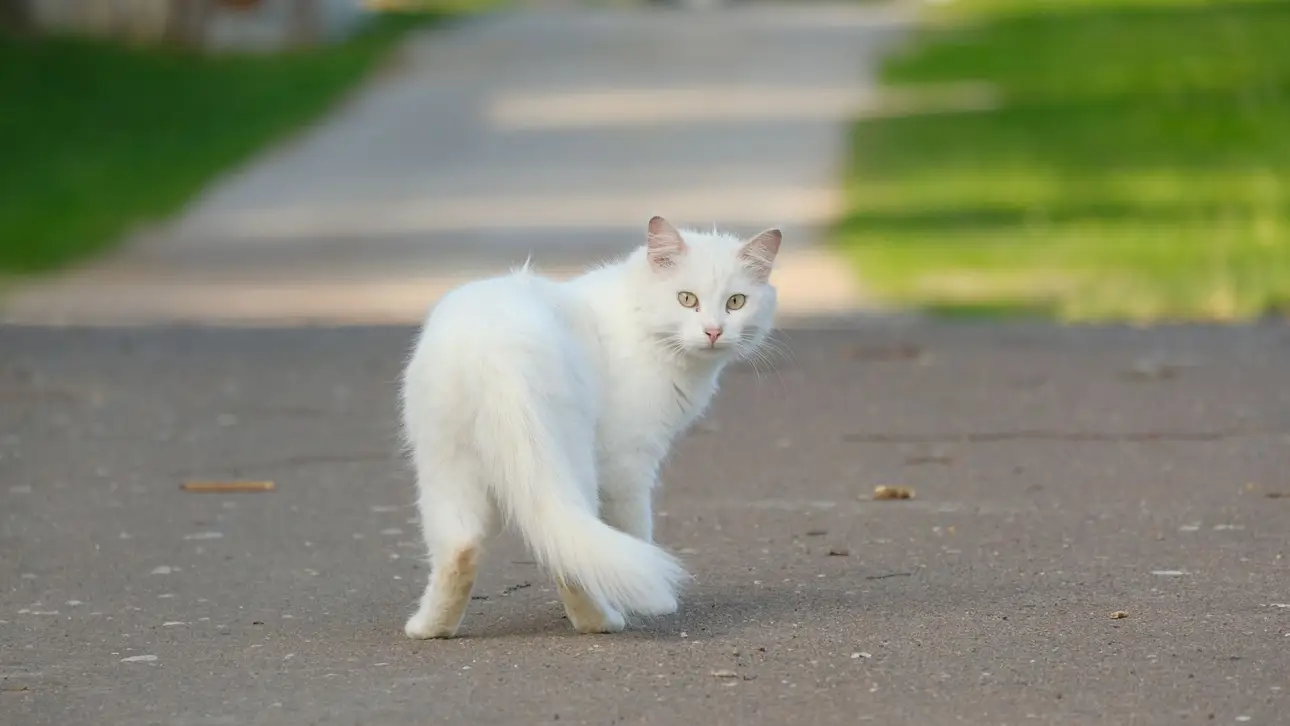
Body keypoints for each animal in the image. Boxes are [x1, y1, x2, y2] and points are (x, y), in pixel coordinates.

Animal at [402, 215, 779, 637]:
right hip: (571, 462)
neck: (637, 318)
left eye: (736, 302)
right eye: (686, 299)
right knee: (568, 551)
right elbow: (636, 531)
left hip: (444, 464)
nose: (714, 331)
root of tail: (493, 350)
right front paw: (654, 602)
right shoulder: (627, 464)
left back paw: (428, 628)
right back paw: (604, 621)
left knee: (461, 548)